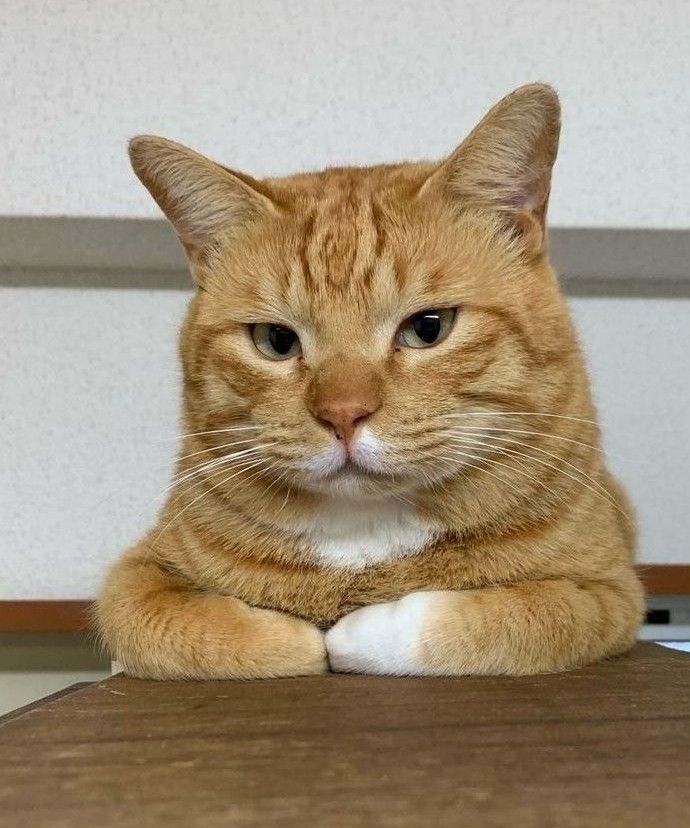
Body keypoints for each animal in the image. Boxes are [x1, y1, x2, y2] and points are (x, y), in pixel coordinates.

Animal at [97, 83, 644, 679]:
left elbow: (492, 620)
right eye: (275, 340)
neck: (363, 536)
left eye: (429, 328)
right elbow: (192, 630)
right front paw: (297, 638)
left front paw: (352, 634)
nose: (343, 414)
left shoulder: (606, 595)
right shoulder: (135, 578)